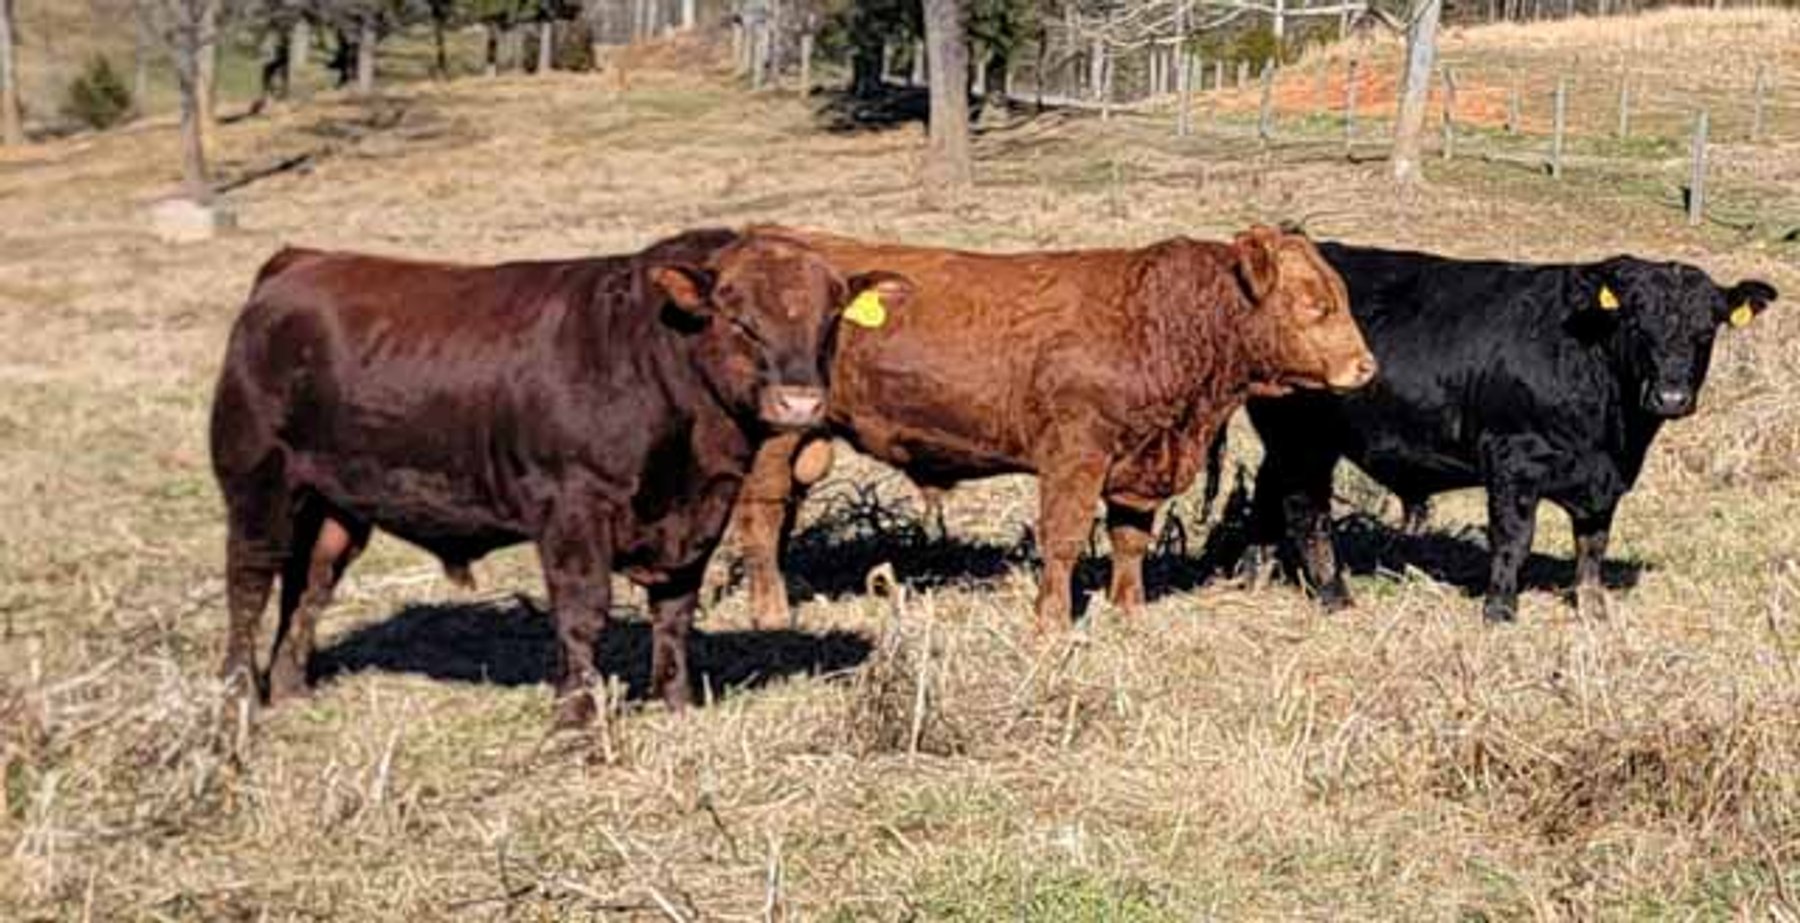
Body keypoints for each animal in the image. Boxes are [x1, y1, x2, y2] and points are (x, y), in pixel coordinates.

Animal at [209, 229, 914, 726]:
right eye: (737, 318)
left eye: (830, 321)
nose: (799, 402)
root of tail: (298, 262)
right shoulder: (573, 510)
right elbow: (583, 614)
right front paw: (578, 719)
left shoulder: (699, 514)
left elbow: (675, 612)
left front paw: (678, 704)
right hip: (257, 481)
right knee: (249, 585)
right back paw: (238, 698)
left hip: (337, 505)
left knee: (309, 587)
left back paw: (292, 691)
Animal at [729, 225, 1378, 633]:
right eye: (1313, 303)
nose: (1365, 366)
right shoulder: (1075, 454)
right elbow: (1063, 539)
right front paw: (1051, 622)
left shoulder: (1138, 463)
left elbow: (1130, 541)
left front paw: (1128, 613)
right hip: (776, 438)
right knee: (761, 517)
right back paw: (771, 612)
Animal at [1241, 243, 1779, 622]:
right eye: (1635, 322)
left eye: (1706, 330)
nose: (1670, 396)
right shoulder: (1512, 458)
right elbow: (1513, 538)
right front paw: (1500, 611)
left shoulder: (1604, 480)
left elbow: (1593, 544)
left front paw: (1593, 612)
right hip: (1304, 442)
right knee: (1305, 513)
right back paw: (1335, 596)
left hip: (1285, 443)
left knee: (1265, 497)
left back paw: (1252, 573)